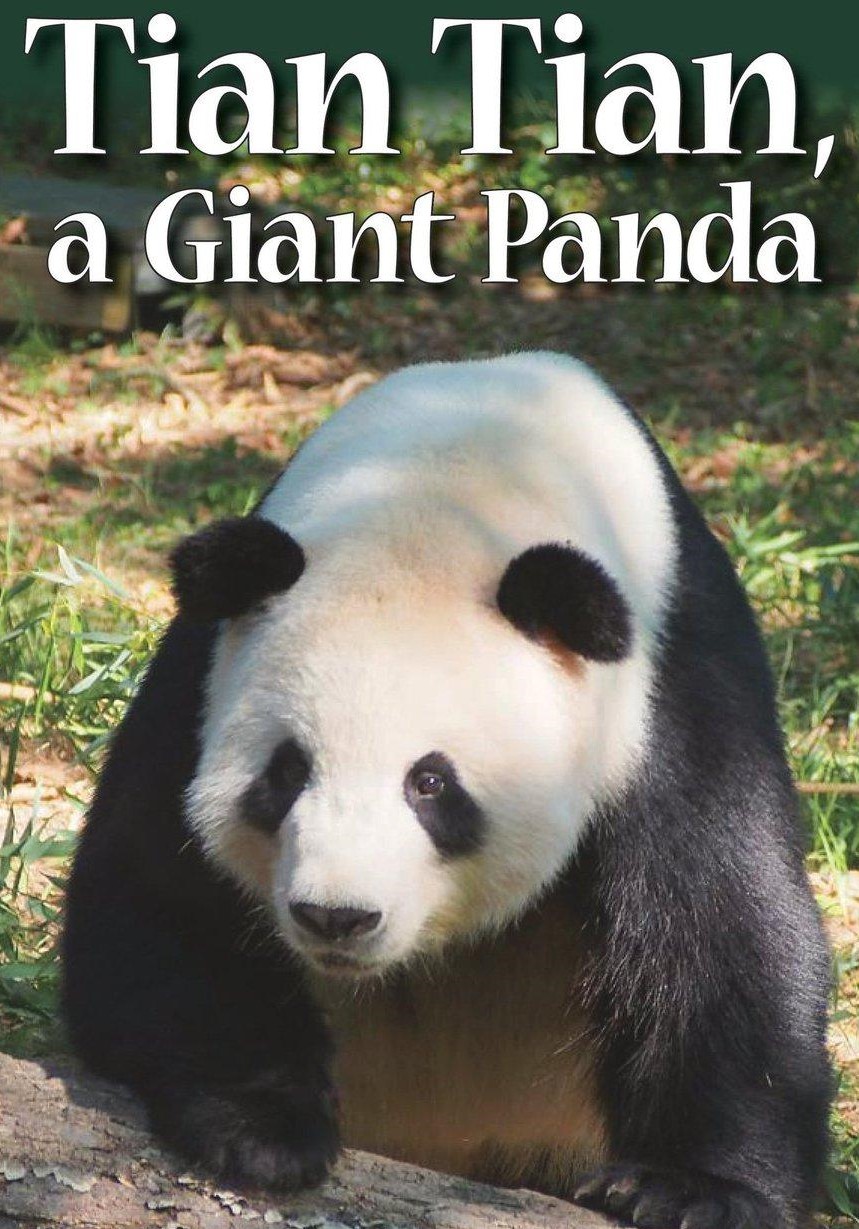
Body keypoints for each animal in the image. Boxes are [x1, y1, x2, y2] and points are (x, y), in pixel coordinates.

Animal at [63, 353, 831, 1229]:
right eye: (286, 771)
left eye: (430, 782)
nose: (336, 916)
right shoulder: (200, 676)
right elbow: (157, 899)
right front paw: (261, 1126)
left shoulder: (672, 680)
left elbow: (721, 920)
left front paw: (687, 1189)